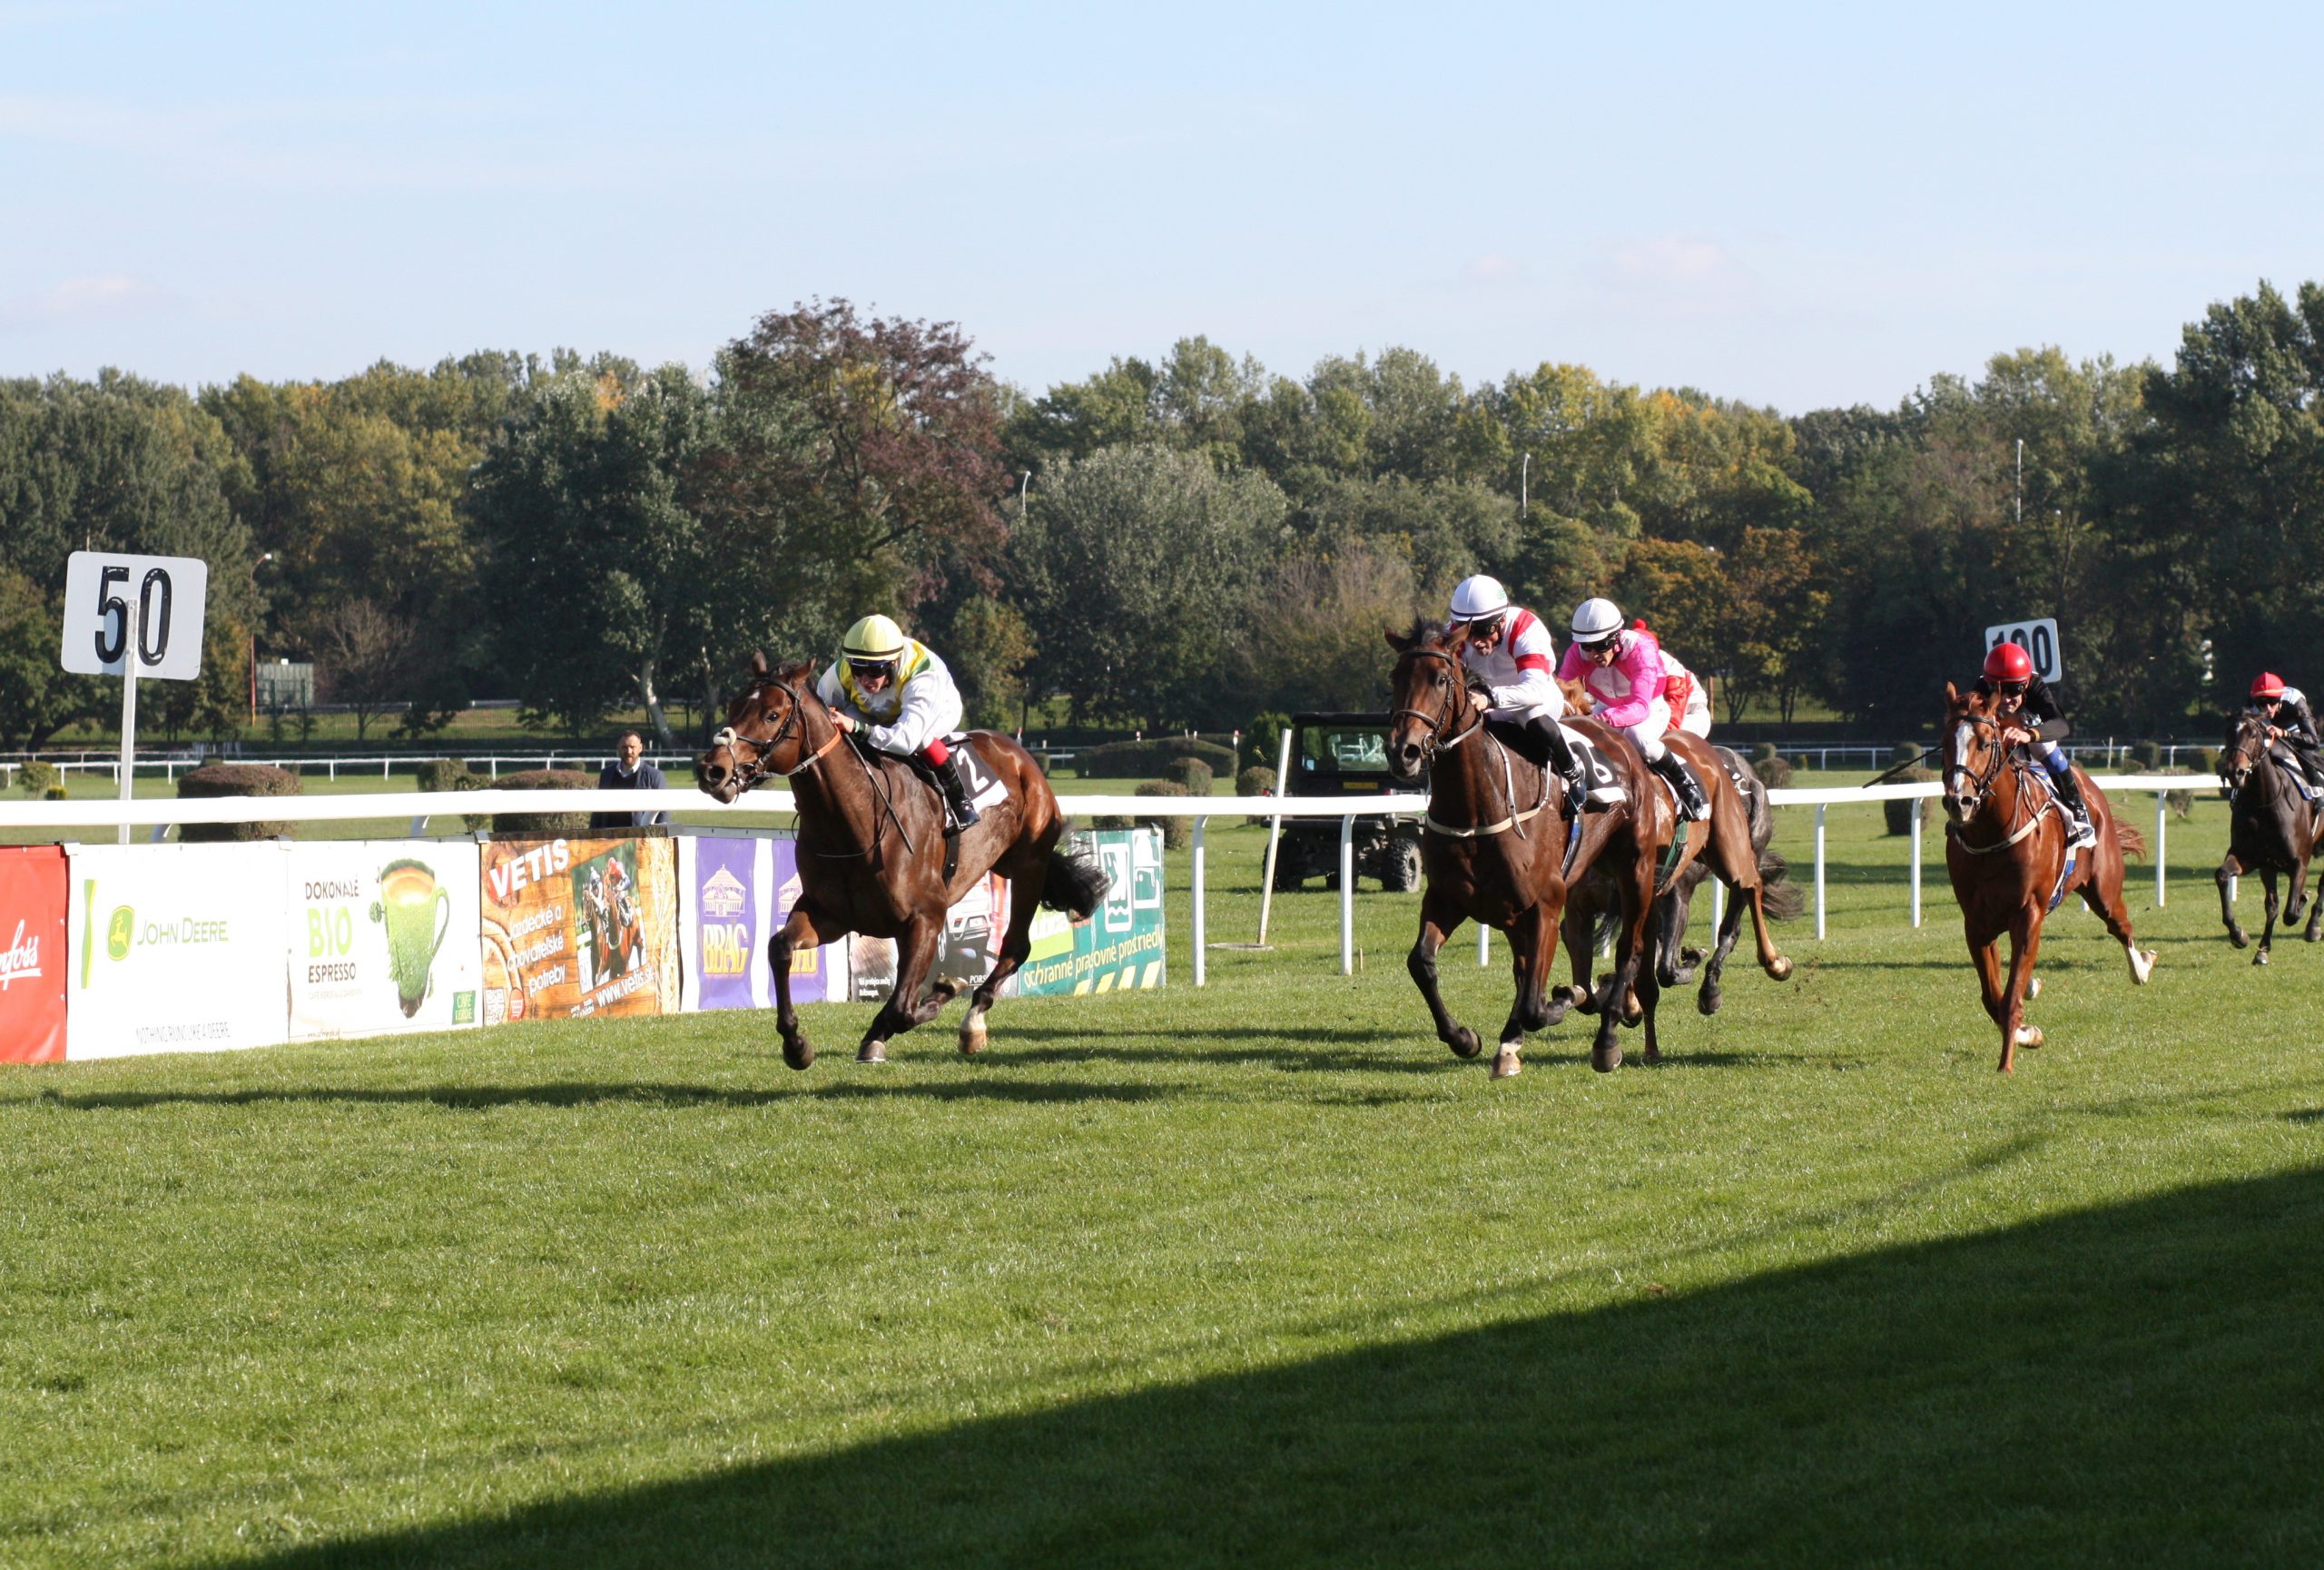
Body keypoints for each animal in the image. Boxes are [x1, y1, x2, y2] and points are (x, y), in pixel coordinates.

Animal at [687, 651, 1106, 1070]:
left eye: (772, 715)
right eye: (733, 706)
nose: (711, 770)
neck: (854, 822)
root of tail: (1019, 754)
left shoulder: (927, 917)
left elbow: (904, 1008)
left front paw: (944, 989)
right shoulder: (830, 915)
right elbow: (780, 948)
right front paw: (796, 1044)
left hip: (1029, 866)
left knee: (1014, 947)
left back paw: (972, 1023)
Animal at [1375, 627, 1673, 1079]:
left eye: (1441, 680)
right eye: (1395, 678)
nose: (1402, 752)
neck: (1479, 806)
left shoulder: (1545, 903)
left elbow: (1536, 1003)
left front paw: (1568, 999)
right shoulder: (1449, 898)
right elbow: (1421, 964)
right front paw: (1465, 1038)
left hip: (1635, 869)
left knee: (1629, 951)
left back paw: (1606, 1040)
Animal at [1561, 744, 1794, 1018]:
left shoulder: (1675, 894)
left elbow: (1666, 969)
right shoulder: (1583, 906)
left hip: (1743, 858)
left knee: (1733, 923)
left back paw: (1727, 984)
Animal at [1933, 684, 2147, 1074]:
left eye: (1985, 742)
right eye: (1944, 741)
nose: (1960, 802)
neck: (1992, 834)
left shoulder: (2028, 915)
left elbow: (2010, 997)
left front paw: (2006, 1065)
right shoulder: (1977, 923)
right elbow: (1994, 997)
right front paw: (2026, 1033)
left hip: (2104, 889)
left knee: (2121, 926)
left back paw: (2141, 968)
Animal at [2202, 711, 2314, 958]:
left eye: (2253, 735)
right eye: (2228, 733)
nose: (2235, 772)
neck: (2264, 804)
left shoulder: (2300, 860)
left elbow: (2291, 912)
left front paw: (2302, 901)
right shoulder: (2252, 858)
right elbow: (2222, 875)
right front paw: (2239, 935)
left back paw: (2313, 927)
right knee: (2272, 904)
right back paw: (2263, 949)